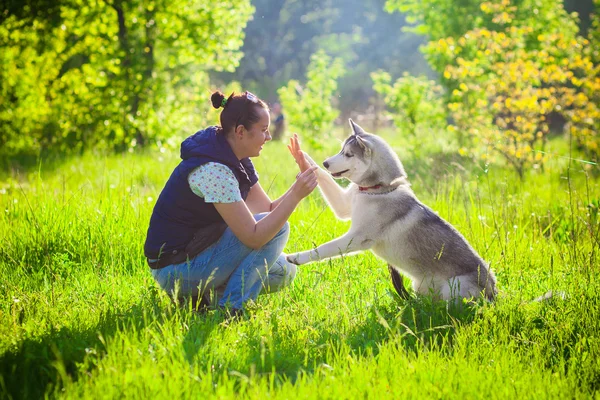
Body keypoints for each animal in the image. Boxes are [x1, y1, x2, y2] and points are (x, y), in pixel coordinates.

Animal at [288, 119, 496, 300]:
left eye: (348, 154)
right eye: (341, 150)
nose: (326, 163)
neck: (378, 190)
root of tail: (494, 292)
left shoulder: (357, 238)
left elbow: (323, 248)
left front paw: (297, 257)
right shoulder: (344, 206)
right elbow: (322, 176)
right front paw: (302, 157)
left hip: (455, 286)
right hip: (421, 285)